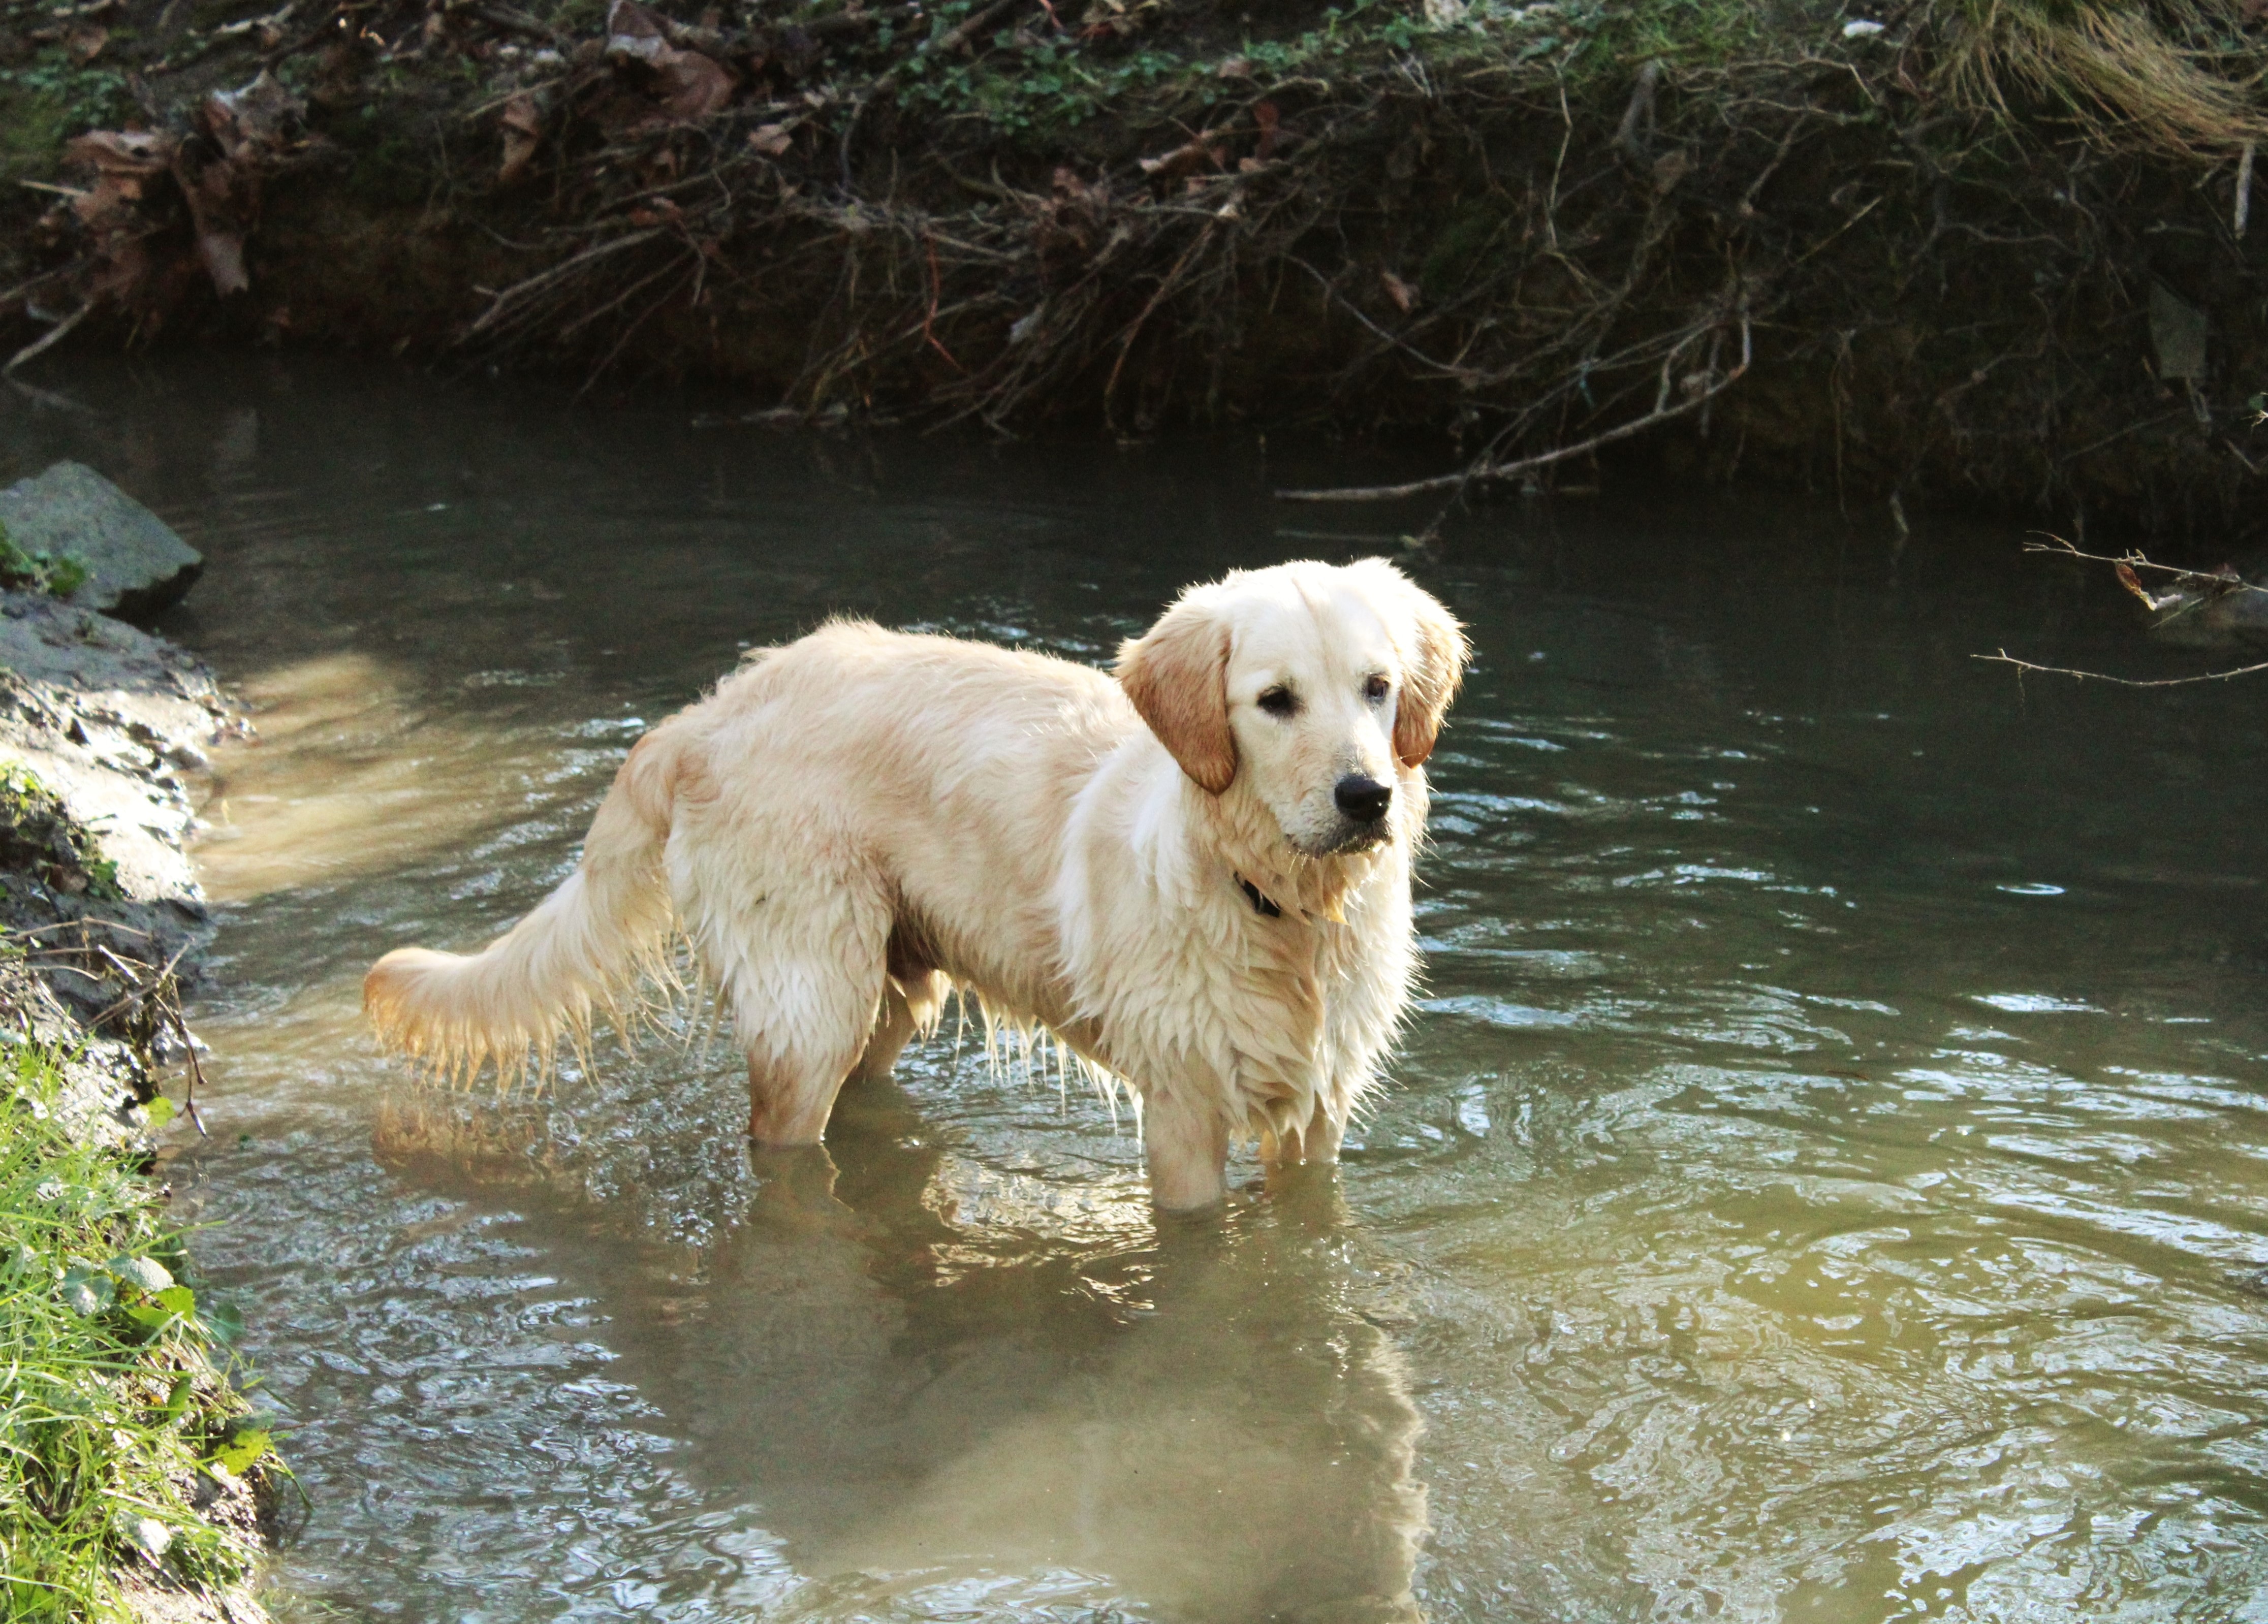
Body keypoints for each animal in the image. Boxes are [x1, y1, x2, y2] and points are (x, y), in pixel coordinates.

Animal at [367, 558, 1469, 1206]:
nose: (1367, 795)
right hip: (810, 1001)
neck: (1282, 905)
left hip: (894, 989)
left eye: (1377, 687)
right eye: (1274, 700)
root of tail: (710, 711)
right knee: (782, 1134)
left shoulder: (1319, 1110)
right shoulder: (1183, 1108)